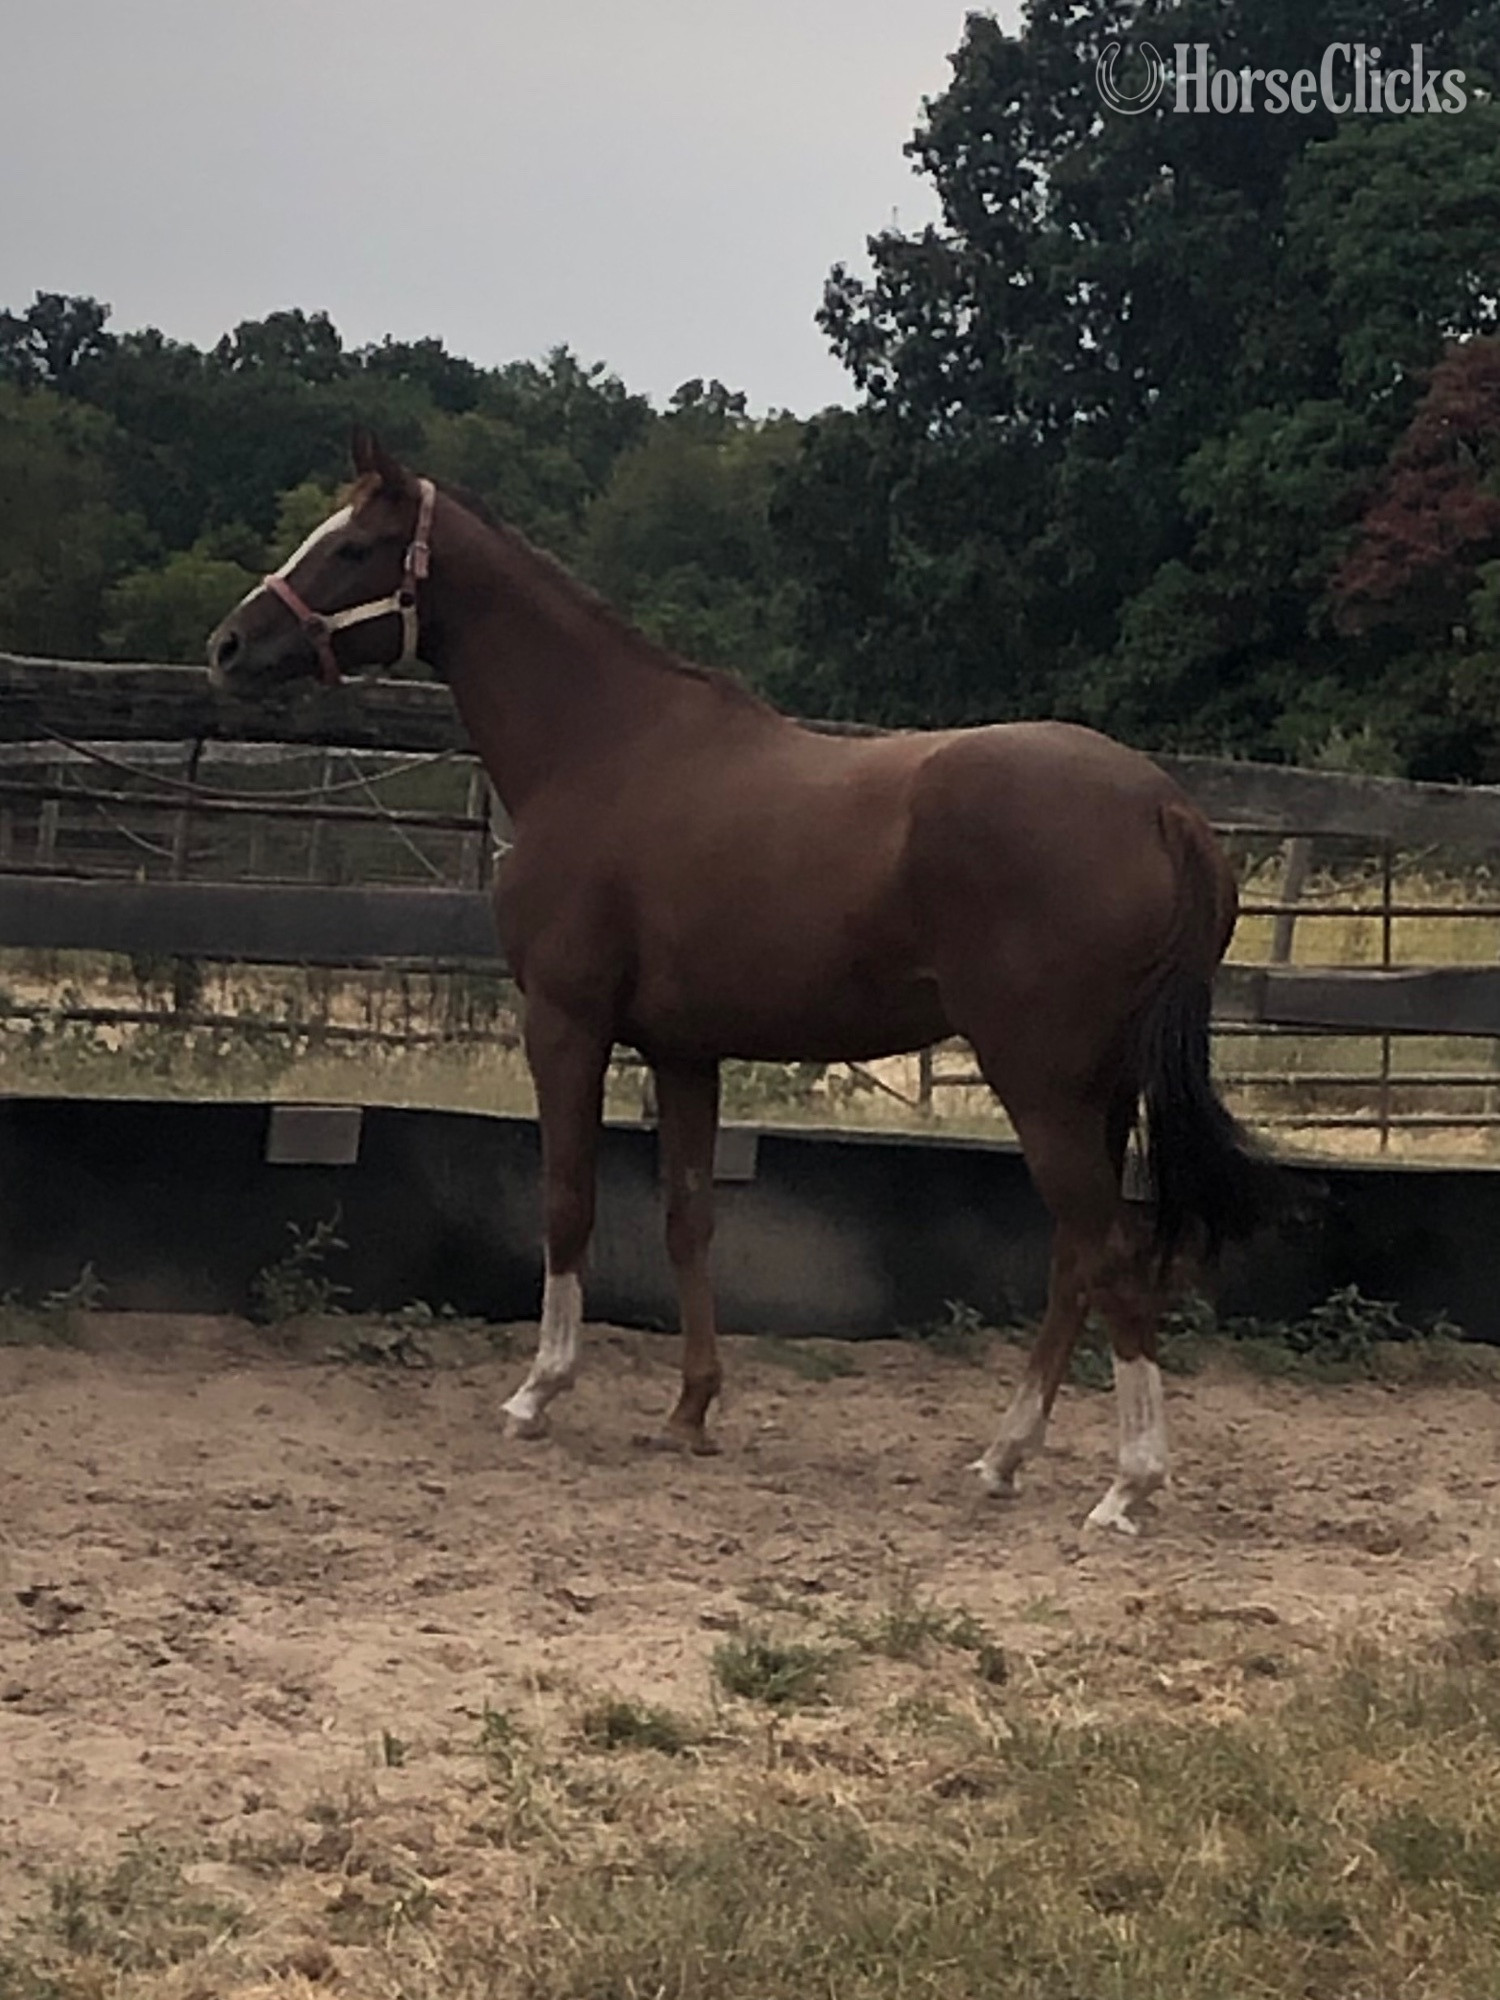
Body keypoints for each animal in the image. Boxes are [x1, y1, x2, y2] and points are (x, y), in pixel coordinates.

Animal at [208, 431, 1262, 1534]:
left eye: (355, 546)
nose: (228, 646)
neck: (604, 750)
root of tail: (1162, 807)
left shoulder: (567, 1023)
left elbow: (569, 1199)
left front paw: (540, 1390)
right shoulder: (684, 1051)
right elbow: (688, 1218)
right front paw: (690, 1408)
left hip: (1041, 1082)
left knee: (1107, 1253)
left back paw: (1127, 1482)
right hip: (1093, 1091)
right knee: (1075, 1257)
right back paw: (1003, 1456)